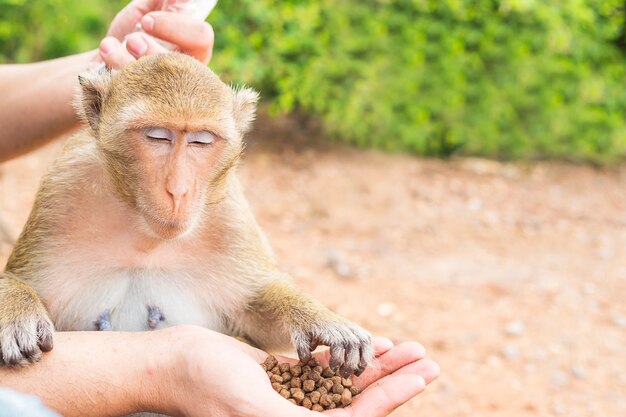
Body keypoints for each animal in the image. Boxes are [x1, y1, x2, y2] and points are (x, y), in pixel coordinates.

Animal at [0, 55, 370, 386]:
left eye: (200, 140)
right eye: (157, 136)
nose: (178, 191)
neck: (146, 235)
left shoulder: (230, 217)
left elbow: (254, 312)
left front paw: (319, 320)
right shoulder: (62, 189)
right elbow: (22, 280)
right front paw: (17, 311)